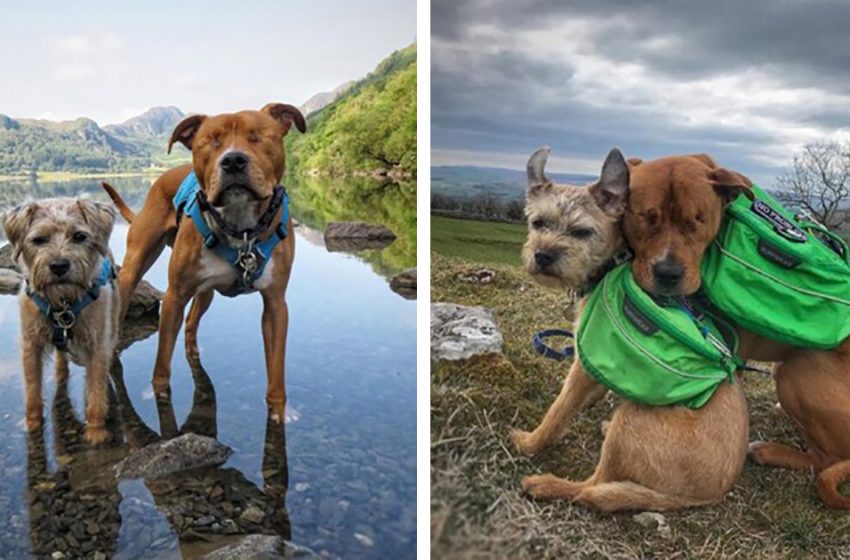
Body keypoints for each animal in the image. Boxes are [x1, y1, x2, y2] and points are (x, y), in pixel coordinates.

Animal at [101, 104, 304, 420]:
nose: (233, 160)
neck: (241, 231)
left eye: (257, 136)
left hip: (205, 292)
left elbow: (276, 369)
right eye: (210, 142)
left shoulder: (275, 304)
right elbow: (162, 363)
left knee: (192, 322)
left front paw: (279, 410)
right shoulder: (174, 296)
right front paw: (159, 394)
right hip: (134, 268)